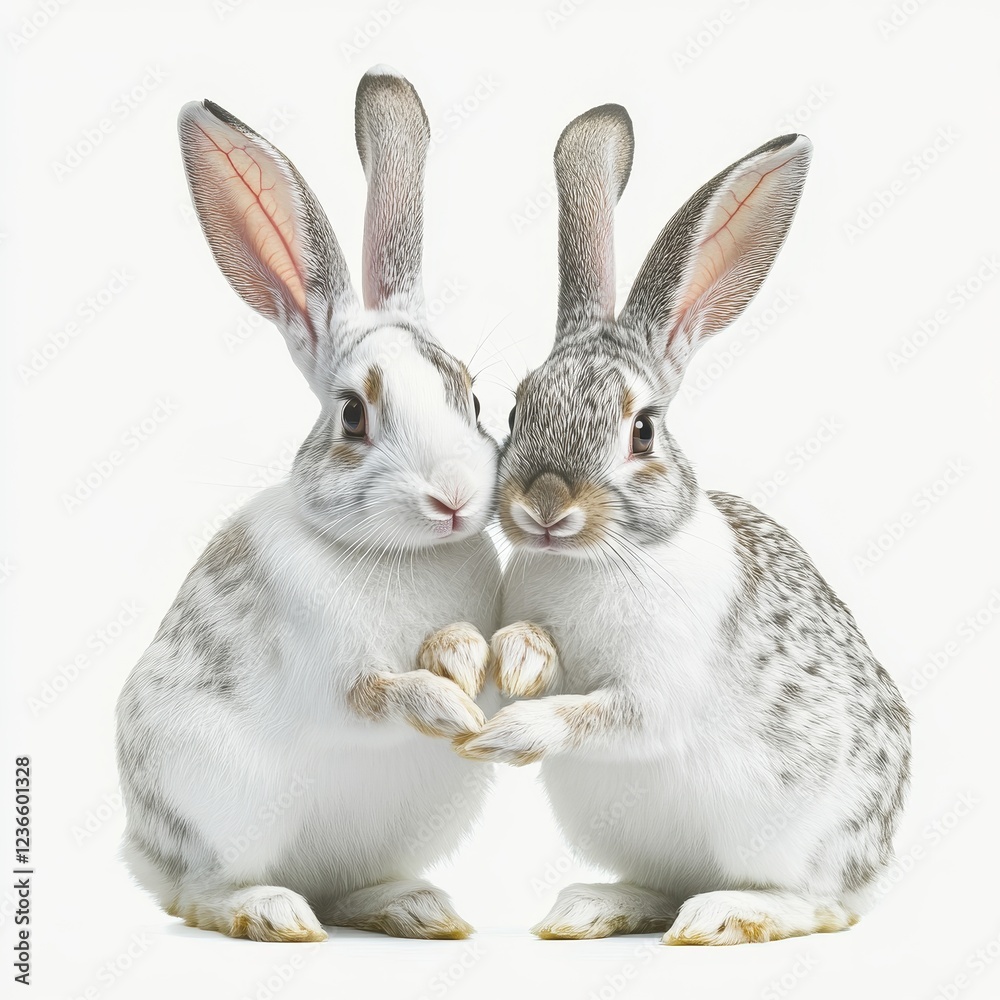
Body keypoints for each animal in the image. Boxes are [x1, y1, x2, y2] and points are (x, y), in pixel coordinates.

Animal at [114, 66, 503, 943]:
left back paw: (416, 908)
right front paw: (445, 705)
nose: (455, 499)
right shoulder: (336, 676)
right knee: (199, 894)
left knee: (349, 887)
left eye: (472, 397)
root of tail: (140, 851)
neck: (398, 554)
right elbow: (378, 696)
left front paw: (462, 659)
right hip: (224, 812)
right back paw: (270, 913)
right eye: (353, 415)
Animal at [457, 104, 911, 946]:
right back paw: (591, 907)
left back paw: (726, 914)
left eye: (642, 430)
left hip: (799, 841)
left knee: (819, 906)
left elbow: (604, 714)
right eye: (517, 409)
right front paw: (523, 656)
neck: (602, 556)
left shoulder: (657, 694)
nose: (545, 504)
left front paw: (516, 734)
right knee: (662, 884)